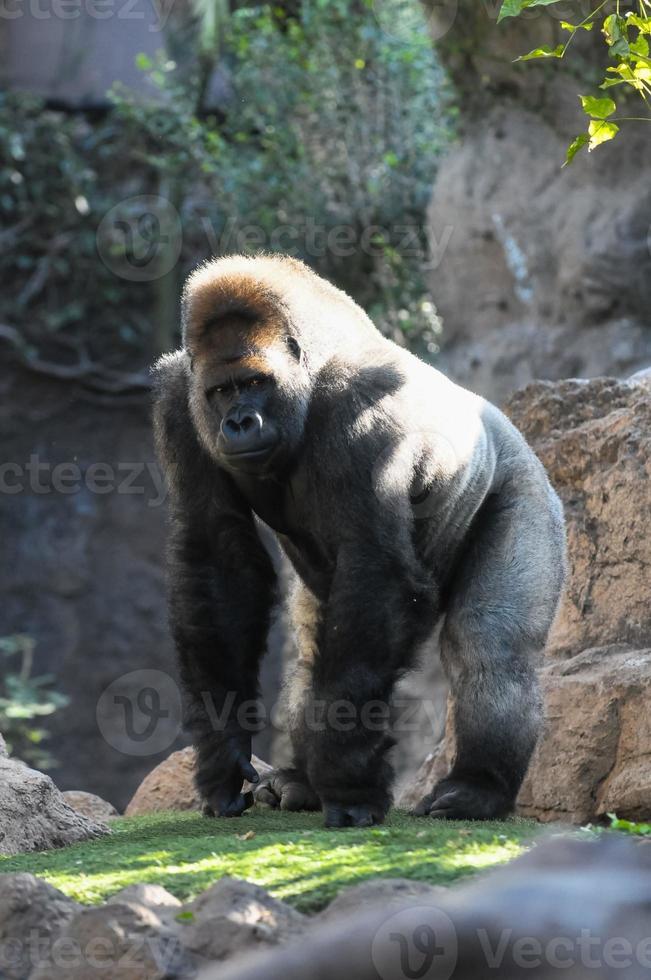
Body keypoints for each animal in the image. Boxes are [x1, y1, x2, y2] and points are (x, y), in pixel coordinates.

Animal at [154, 253, 564, 828]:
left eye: (255, 382)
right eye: (220, 392)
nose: (239, 422)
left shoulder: (360, 406)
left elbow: (376, 568)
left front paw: (349, 781)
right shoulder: (179, 402)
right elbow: (218, 562)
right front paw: (223, 752)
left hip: (526, 488)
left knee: (489, 643)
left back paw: (478, 788)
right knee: (312, 650)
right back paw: (301, 781)